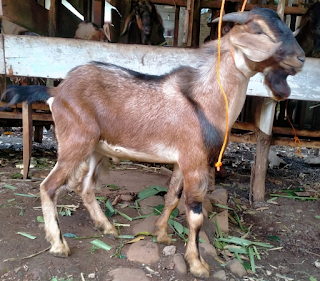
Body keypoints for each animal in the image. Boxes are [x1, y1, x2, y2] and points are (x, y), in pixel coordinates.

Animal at [0, 7, 304, 278]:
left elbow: (171, 198)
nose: (300, 58)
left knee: (85, 188)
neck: (207, 100)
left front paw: (161, 234)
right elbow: (195, 215)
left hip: (97, 149)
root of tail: (56, 92)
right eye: (259, 30)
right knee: (48, 186)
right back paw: (59, 245)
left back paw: (107, 228)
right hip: (75, 142)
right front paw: (197, 265)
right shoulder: (195, 162)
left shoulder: (183, 160)